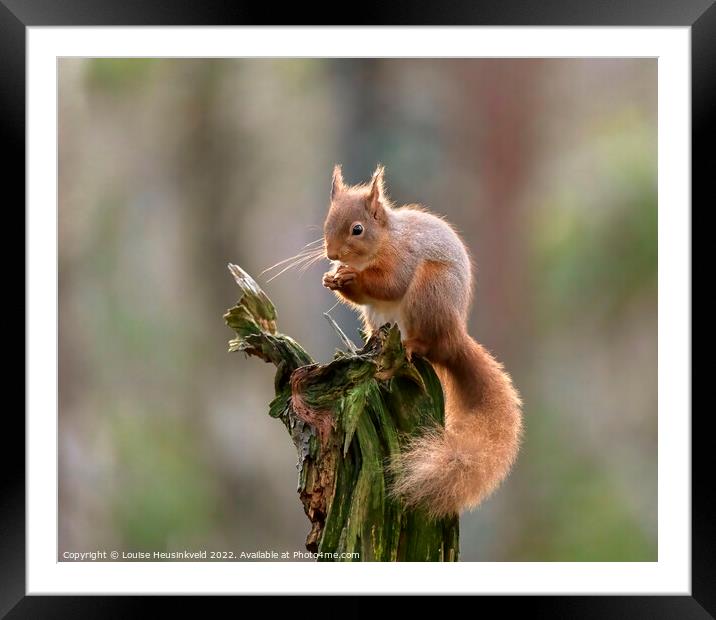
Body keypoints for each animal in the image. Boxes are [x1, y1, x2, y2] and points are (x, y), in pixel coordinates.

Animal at [322, 163, 524, 520]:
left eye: (357, 229)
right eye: (327, 221)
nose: (331, 253)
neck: (386, 238)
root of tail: (453, 337)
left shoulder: (404, 257)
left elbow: (389, 284)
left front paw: (350, 277)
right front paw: (333, 277)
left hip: (429, 290)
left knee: (426, 343)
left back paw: (411, 345)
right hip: (378, 316)